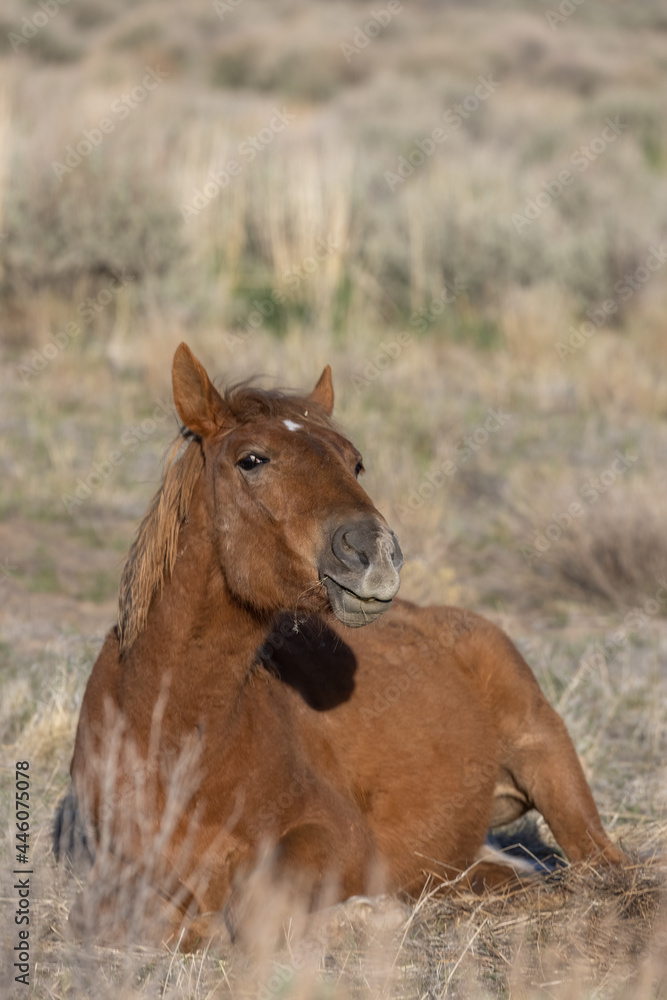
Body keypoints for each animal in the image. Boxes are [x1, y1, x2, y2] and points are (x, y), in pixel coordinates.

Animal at [57, 341, 625, 949]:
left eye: (355, 463)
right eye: (252, 460)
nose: (376, 553)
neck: (168, 733)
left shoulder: (332, 834)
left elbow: (254, 908)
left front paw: (363, 914)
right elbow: (122, 915)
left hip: (550, 761)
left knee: (600, 863)